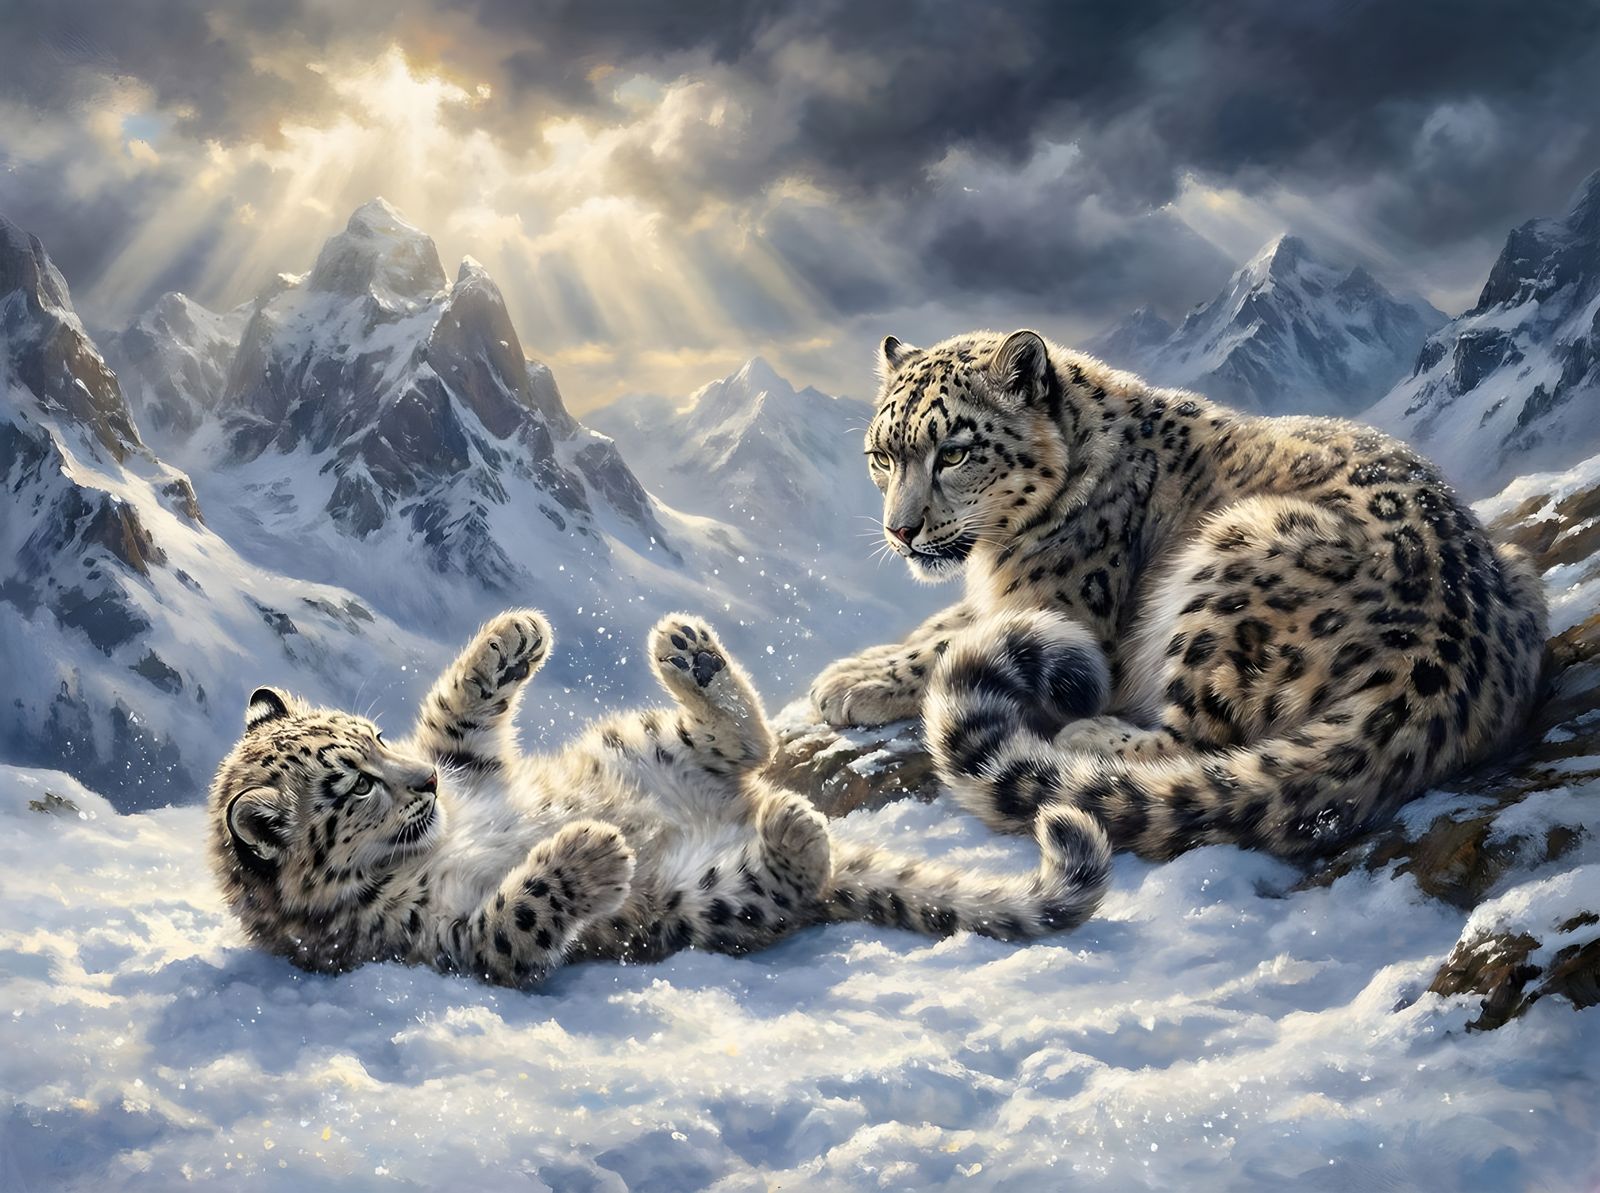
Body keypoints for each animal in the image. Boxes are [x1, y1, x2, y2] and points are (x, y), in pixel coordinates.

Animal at [208, 607, 1112, 989]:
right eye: (357, 781)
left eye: (374, 737)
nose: (422, 783)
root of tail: (730, 812)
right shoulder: (446, 940)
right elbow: (517, 914)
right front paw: (587, 849)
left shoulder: (471, 760)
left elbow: (454, 712)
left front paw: (513, 634)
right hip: (698, 901)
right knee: (789, 873)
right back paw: (789, 825)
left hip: (646, 746)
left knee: (749, 745)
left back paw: (692, 653)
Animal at [810, 329, 1547, 861]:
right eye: (881, 456)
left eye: (954, 452)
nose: (900, 530)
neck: (997, 552)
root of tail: (1447, 666)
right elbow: (945, 624)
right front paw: (855, 666)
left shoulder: (1060, 607)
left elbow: (950, 642)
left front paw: (852, 682)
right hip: (1519, 572)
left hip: (1234, 561)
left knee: (1200, 736)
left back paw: (1092, 735)